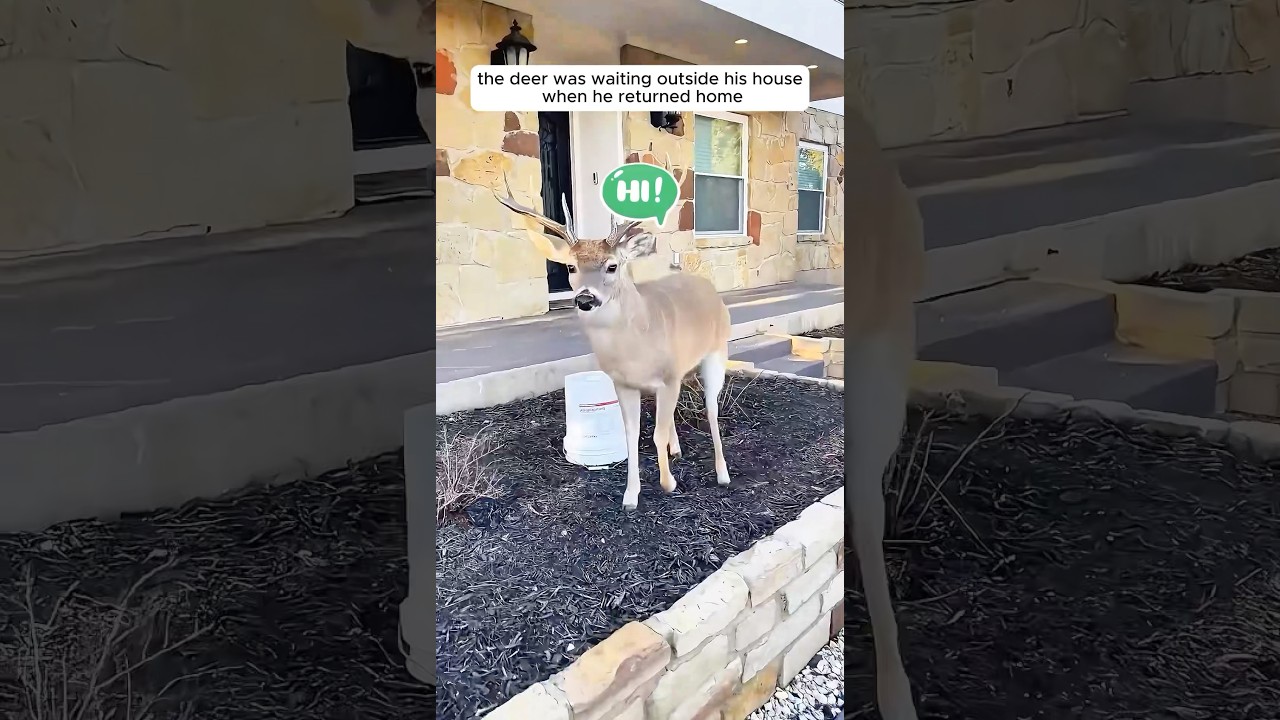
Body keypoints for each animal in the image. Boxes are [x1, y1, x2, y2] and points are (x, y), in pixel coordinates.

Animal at [491, 163, 733, 513]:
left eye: (612, 266)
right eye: (570, 266)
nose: (585, 298)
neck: (638, 343)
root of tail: (708, 288)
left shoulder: (668, 376)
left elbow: (655, 434)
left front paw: (668, 483)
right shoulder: (625, 383)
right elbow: (633, 435)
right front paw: (631, 496)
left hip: (717, 350)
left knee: (711, 408)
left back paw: (723, 473)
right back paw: (676, 450)